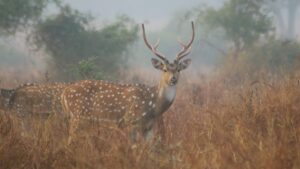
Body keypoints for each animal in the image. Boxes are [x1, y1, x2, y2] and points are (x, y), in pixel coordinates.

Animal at [62, 21, 196, 143]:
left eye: (178, 69)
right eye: (164, 69)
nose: (173, 79)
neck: (153, 107)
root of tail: (64, 93)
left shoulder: (149, 127)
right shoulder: (132, 121)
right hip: (78, 116)